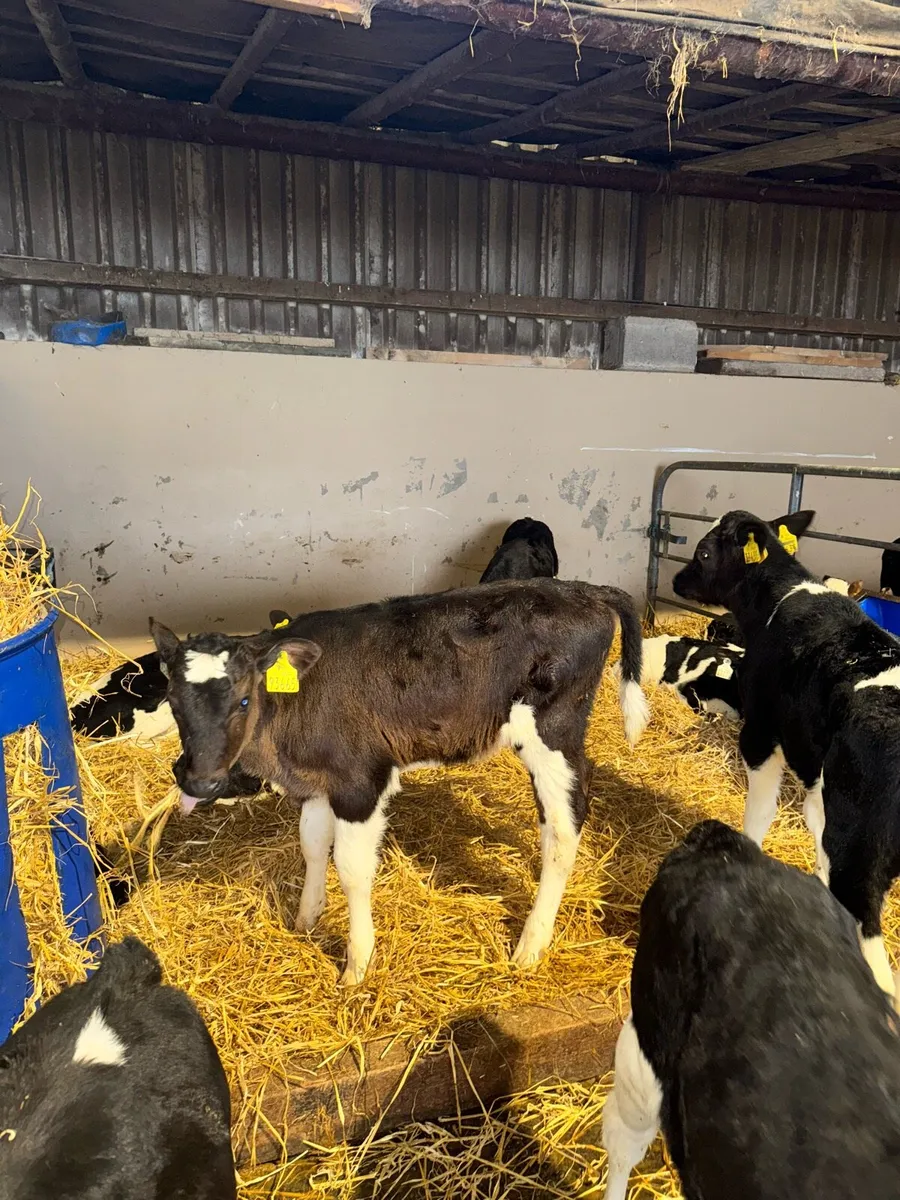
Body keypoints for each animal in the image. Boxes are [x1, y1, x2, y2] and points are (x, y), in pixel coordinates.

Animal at [150, 578, 649, 984]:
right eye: (172, 701)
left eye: (243, 700)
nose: (198, 783)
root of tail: (581, 589)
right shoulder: (317, 781)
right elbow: (311, 845)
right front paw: (307, 920)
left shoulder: (359, 781)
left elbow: (351, 870)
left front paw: (357, 965)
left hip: (552, 729)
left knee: (565, 820)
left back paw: (531, 944)